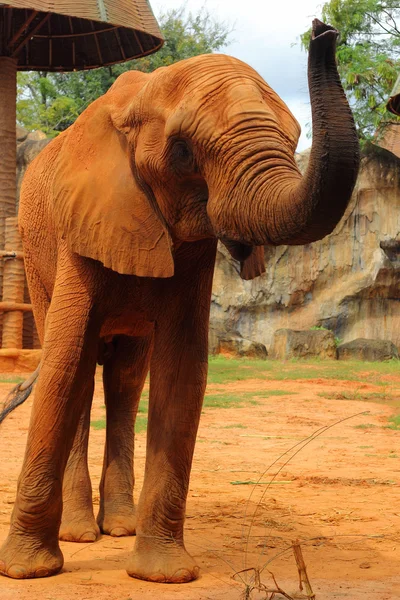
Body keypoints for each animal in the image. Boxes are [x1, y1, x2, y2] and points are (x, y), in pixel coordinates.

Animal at [0, 19, 360, 584]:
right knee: (84, 376)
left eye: (295, 139)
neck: (140, 95)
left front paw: (163, 576)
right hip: (37, 253)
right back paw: (81, 534)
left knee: (126, 377)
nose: (323, 30)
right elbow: (65, 363)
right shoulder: (80, 221)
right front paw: (27, 572)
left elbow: (183, 367)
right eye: (184, 152)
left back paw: (118, 528)